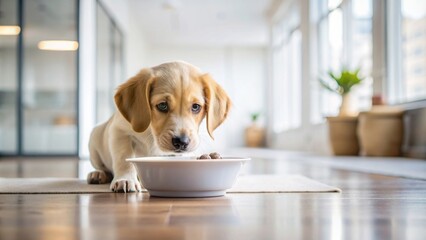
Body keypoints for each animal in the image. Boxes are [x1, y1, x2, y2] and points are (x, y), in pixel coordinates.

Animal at [85, 61, 230, 192]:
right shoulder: (119, 132)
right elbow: (124, 158)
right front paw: (125, 179)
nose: (182, 142)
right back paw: (98, 174)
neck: (151, 133)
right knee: (103, 167)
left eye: (196, 107)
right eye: (162, 105)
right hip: (94, 139)